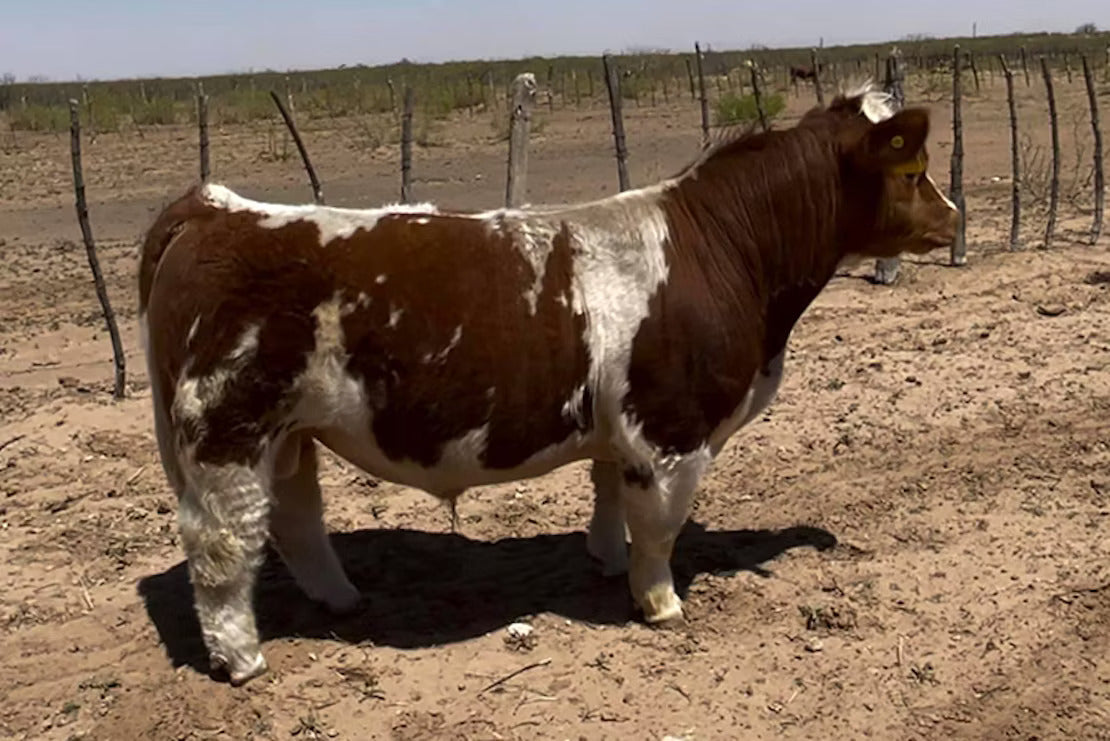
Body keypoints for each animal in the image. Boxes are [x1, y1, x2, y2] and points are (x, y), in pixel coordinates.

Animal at [138, 82, 958, 685]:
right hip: (226, 434)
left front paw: (606, 558)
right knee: (222, 548)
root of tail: (215, 208)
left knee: (295, 519)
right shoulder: (671, 432)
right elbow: (660, 526)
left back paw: (341, 599)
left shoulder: (622, 429)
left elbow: (609, 494)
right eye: (913, 172)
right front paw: (659, 603)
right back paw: (243, 660)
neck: (722, 251)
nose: (954, 218)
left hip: (289, 435)